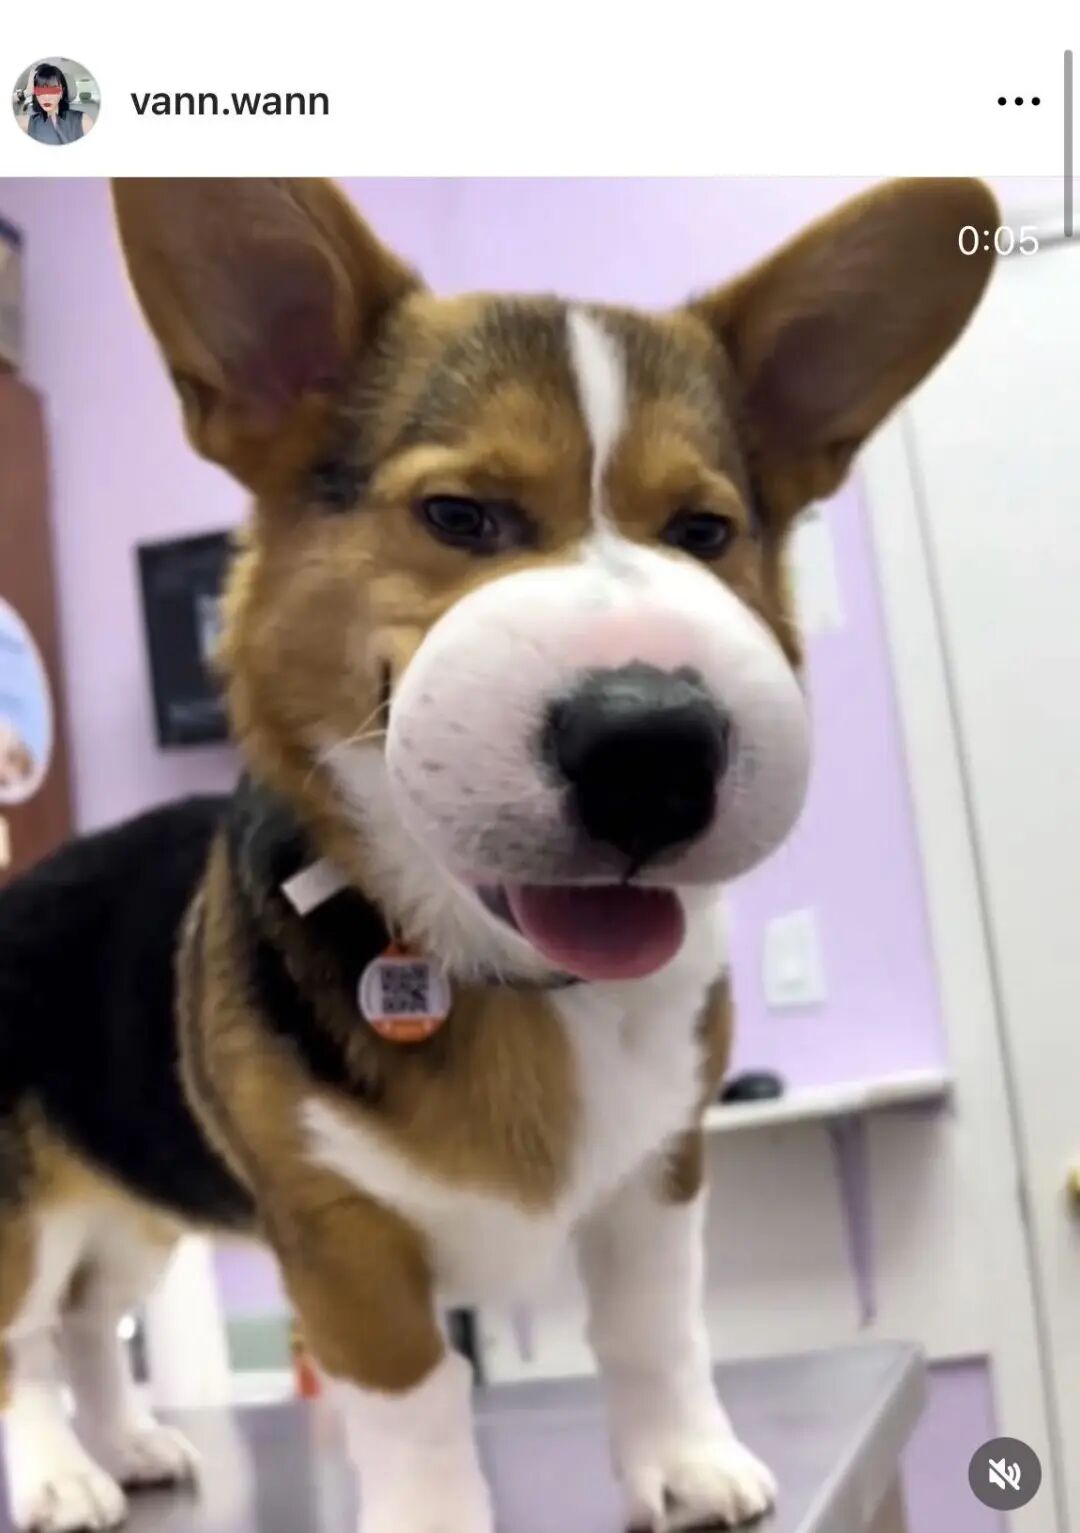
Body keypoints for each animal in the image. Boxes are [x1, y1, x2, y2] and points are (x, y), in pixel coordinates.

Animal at [0, 175, 995, 1533]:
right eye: (460, 516)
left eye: (704, 532)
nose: (654, 749)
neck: (505, 973)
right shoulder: (340, 1234)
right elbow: (418, 1396)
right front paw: (434, 1513)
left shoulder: (659, 1174)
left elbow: (653, 1333)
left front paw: (686, 1462)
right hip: (22, 1214)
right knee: (23, 1343)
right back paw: (56, 1472)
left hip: (133, 1204)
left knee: (92, 1320)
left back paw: (132, 1443)